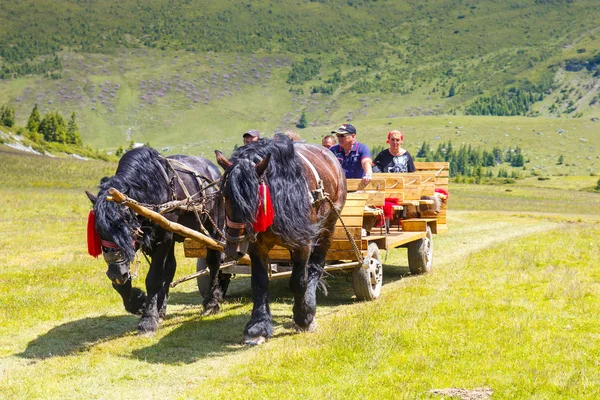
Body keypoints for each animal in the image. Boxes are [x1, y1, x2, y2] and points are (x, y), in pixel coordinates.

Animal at [88, 145, 227, 332]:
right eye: (98, 230)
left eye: (126, 226)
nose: (116, 272)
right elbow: (127, 282)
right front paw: (139, 302)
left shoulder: (163, 238)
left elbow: (153, 278)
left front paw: (148, 320)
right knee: (170, 268)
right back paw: (161, 309)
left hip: (213, 225)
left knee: (213, 261)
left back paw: (212, 302)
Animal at [216, 134, 346, 344]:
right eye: (225, 195)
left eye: (254, 198)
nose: (233, 249)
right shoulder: (257, 247)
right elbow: (260, 282)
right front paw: (257, 327)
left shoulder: (303, 243)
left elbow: (298, 281)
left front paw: (303, 318)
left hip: (328, 226)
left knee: (316, 266)